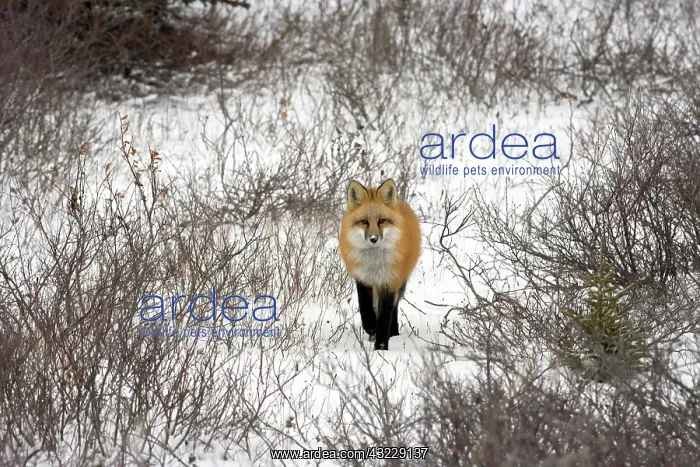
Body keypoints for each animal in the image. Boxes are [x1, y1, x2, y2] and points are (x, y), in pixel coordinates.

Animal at [338, 178, 421, 351]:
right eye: (364, 222)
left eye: (381, 221)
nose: (373, 239)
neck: (374, 265)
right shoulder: (363, 279)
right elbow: (365, 307)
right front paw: (370, 327)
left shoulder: (389, 281)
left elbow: (384, 317)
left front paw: (381, 347)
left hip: (401, 281)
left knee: (395, 308)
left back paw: (393, 332)